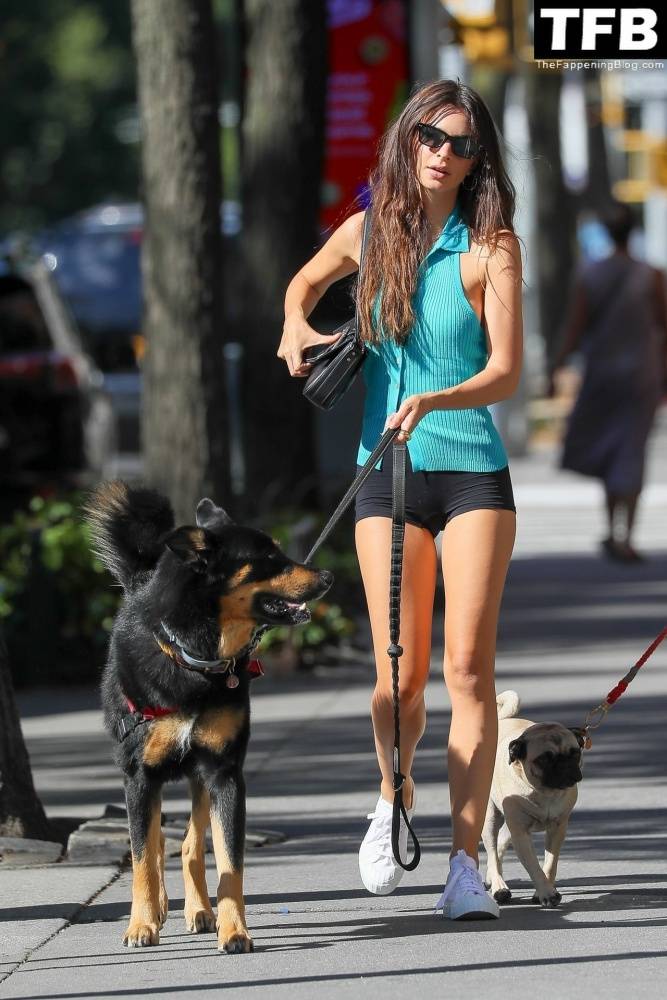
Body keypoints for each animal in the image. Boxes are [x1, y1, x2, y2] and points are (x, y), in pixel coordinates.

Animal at [85, 484, 332, 952]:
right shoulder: (139, 777)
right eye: (268, 556)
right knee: (157, 846)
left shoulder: (224, 773)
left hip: (200, 779)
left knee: (189, 846)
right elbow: (142, 860)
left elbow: (229, 863)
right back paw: (160, 910)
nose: (327, 577)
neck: (195, 658)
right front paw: (140, 923)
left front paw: (234, 930)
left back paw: (199, 911)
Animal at [480, 692, 584, 912]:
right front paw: (547, 894)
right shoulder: (521, 835)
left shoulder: (557, 828)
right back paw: (499, 887)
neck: (545, 792)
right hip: (490, 817)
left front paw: (543, 890)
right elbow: (534, 866)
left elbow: (550, 864)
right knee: (492, 851)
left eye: (575, 753)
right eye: (544, 759)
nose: (564, 765)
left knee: (501, 844)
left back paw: (492, 879)